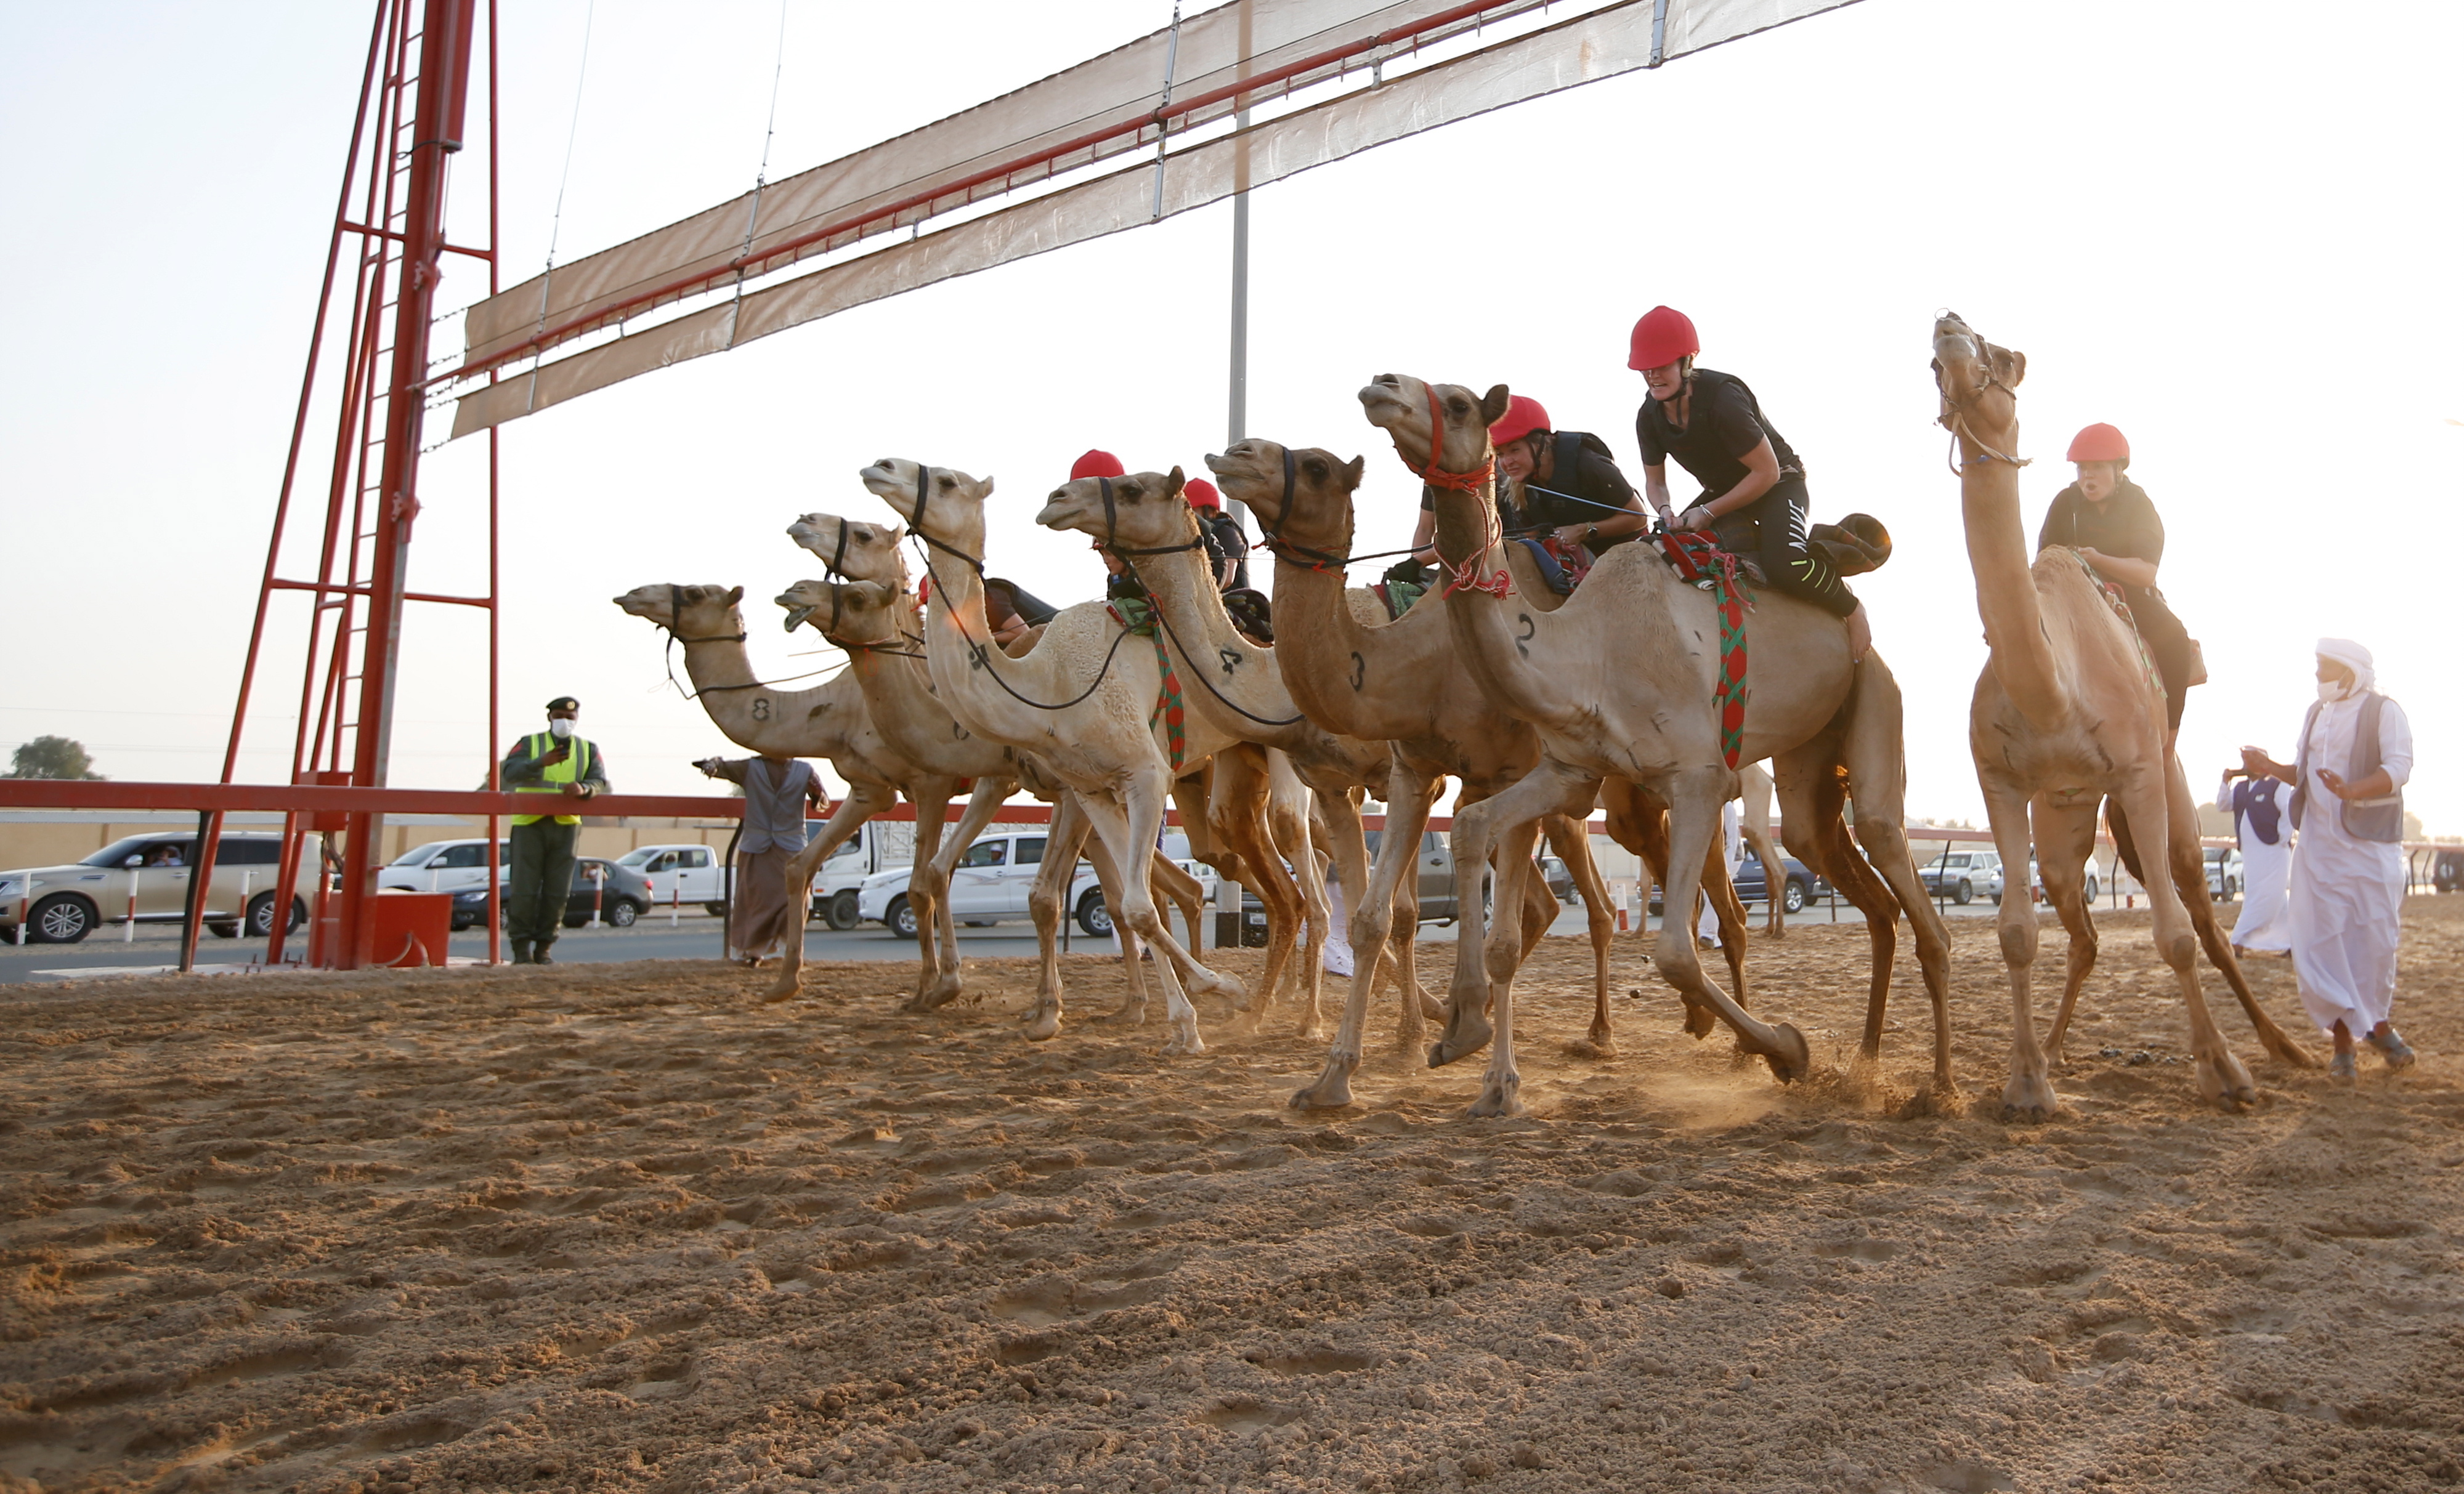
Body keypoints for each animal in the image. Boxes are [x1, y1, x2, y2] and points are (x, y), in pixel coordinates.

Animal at [1932, 310, 2316, 1119]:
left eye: (2006, 356)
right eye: (1931, 360)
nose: (1949, 326)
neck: (2054, 685)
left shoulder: (2138, 771)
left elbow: (2173, 936)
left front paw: (2223, 1072)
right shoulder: (2000, 781)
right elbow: (2016, 932)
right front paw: (2025, 1084)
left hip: (2169, 795)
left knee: (2204, 919)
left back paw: (2281, 1049)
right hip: (2066, 821)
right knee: (2081, 931)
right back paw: (2052, 1050)